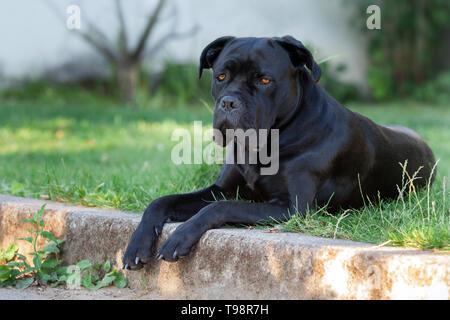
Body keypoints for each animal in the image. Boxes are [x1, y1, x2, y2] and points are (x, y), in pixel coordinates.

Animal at [121, 35, 434, 270]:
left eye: (264, 81)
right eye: (221, 76)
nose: (229, 102)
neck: (267, 141)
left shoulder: (291, 208)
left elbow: (221, 207)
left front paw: (180, 237)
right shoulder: (221, 188)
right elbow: (161, 201)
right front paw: (136, 245)